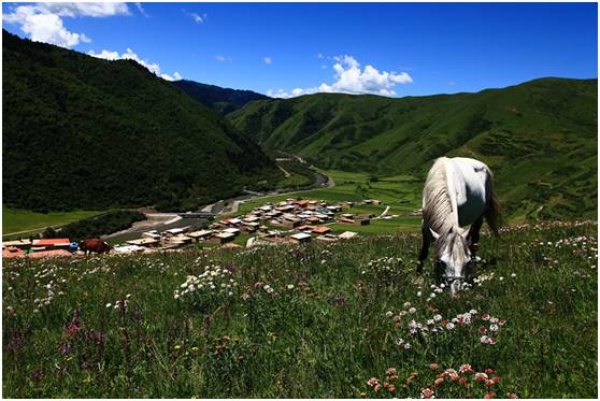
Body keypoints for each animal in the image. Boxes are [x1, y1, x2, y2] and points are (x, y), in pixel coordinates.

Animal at [418, 158, 502, 296]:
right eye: (442, 262)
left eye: (466, 262)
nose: (457, 293)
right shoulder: (425, 222)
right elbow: (423, 251)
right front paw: (418, 276)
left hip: (480, 214)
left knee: (474, 239)